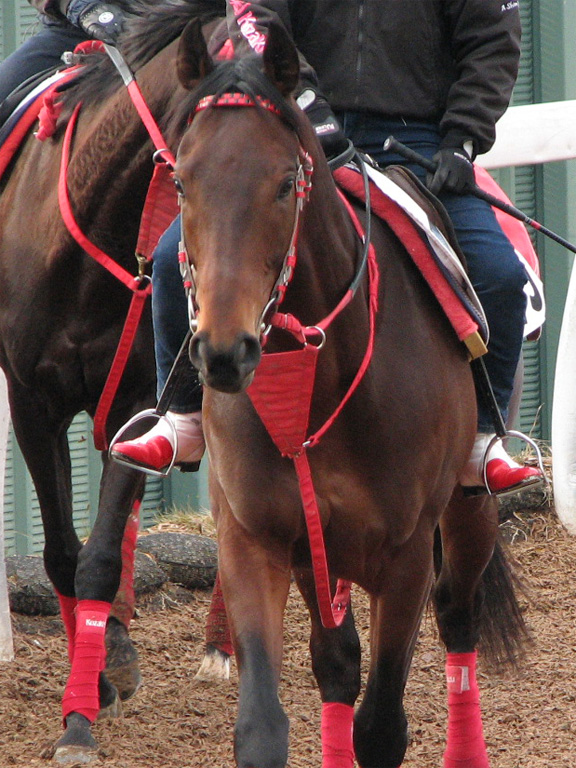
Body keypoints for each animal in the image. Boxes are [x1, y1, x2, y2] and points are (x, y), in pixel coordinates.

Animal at [0, 4, 223, 760]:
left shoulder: (135, 393)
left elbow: (95, 556)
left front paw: (82, 710)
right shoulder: (32, 403)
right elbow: (63, 554)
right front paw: (90, 689)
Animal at [172, 16, 532, 768]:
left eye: (285, 182)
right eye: (181, 181)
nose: (223, 351)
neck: (319, 373)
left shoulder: (404, 557)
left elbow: (382, 727)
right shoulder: (254, 539)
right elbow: (265, 724)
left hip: (469, 507)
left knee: (457, 615)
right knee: (336, 662)